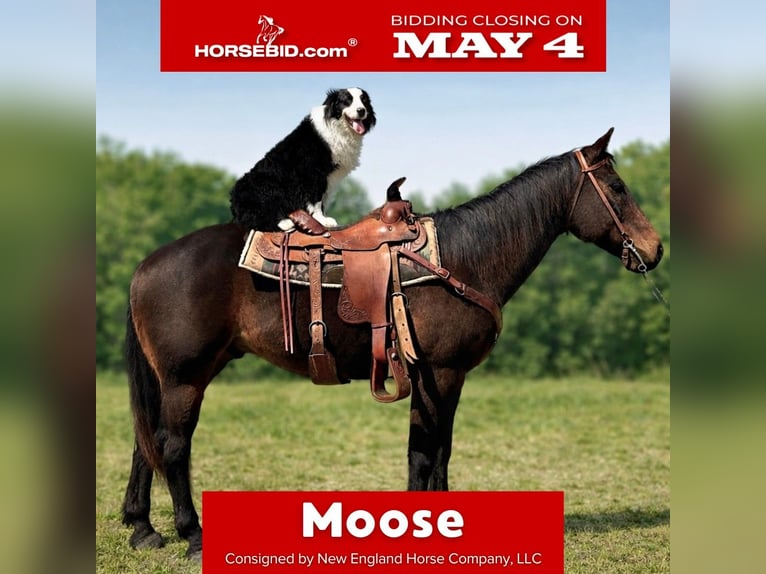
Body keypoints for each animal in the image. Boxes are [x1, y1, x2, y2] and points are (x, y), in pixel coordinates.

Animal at [120, 128, 664, 558]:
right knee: (172, 446)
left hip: (173, 377)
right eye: (616, 187)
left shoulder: (444, 376)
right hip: (186, 377)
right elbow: (425, 451)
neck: (464, 260)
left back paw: (143, 529)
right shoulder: (438, 372)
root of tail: (146, 264)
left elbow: (440, 449)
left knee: (146, 441)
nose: (655, 249)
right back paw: (192, 536)